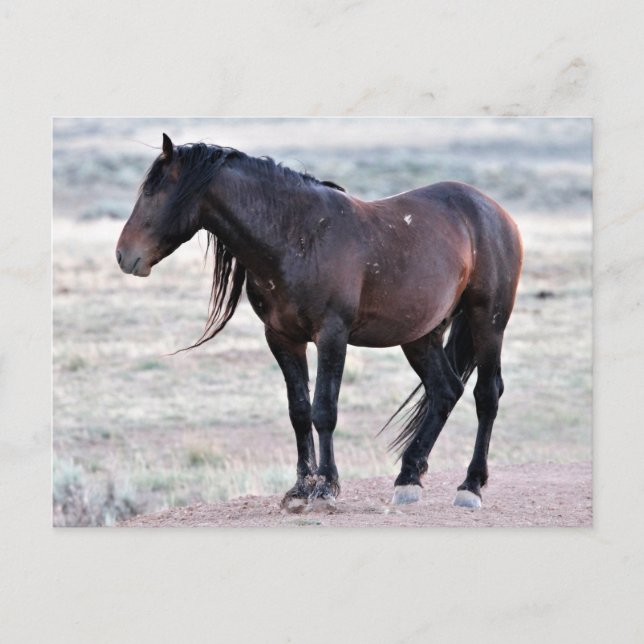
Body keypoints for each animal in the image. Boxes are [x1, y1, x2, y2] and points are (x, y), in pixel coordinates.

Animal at [116, 134, 523, 511]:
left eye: (152, 192)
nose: (124, 255)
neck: (297, 236)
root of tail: (494, 211)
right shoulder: (282, 338)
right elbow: (299, 411)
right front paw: (300, 488)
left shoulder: (331, 335)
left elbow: (324, 410)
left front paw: (326, 487)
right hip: (421, 335)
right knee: (445, 391)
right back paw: (408, 480)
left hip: (488, 322)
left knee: (487, 395)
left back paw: (470, 487)